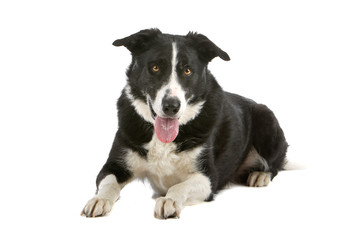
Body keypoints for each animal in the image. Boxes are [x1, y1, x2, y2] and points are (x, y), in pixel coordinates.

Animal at [81, 28, 286, 219]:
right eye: (155, 68)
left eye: (187, 70)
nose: (171, 106)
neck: (163, 141)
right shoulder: (114, 165)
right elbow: (109, 183)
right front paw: (99, 200)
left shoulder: (207, 178)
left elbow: (179, 187)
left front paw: (169, 201)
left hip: (265, 117)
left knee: (276, 163)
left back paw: (260, 174)